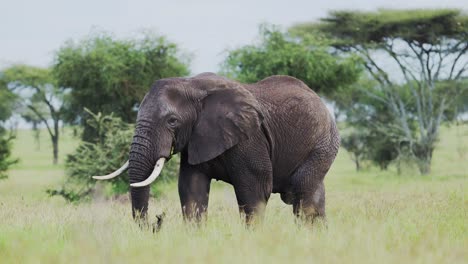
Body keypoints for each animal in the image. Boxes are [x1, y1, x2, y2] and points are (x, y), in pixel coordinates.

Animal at [92, 72, 340, 225]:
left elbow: (255, 190)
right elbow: (191, 189)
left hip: (323, 144)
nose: (156, 222)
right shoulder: (195, 138)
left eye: (172, 121)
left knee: (303, 194)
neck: (192, 85)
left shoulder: (249, 137)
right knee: (313, 196)